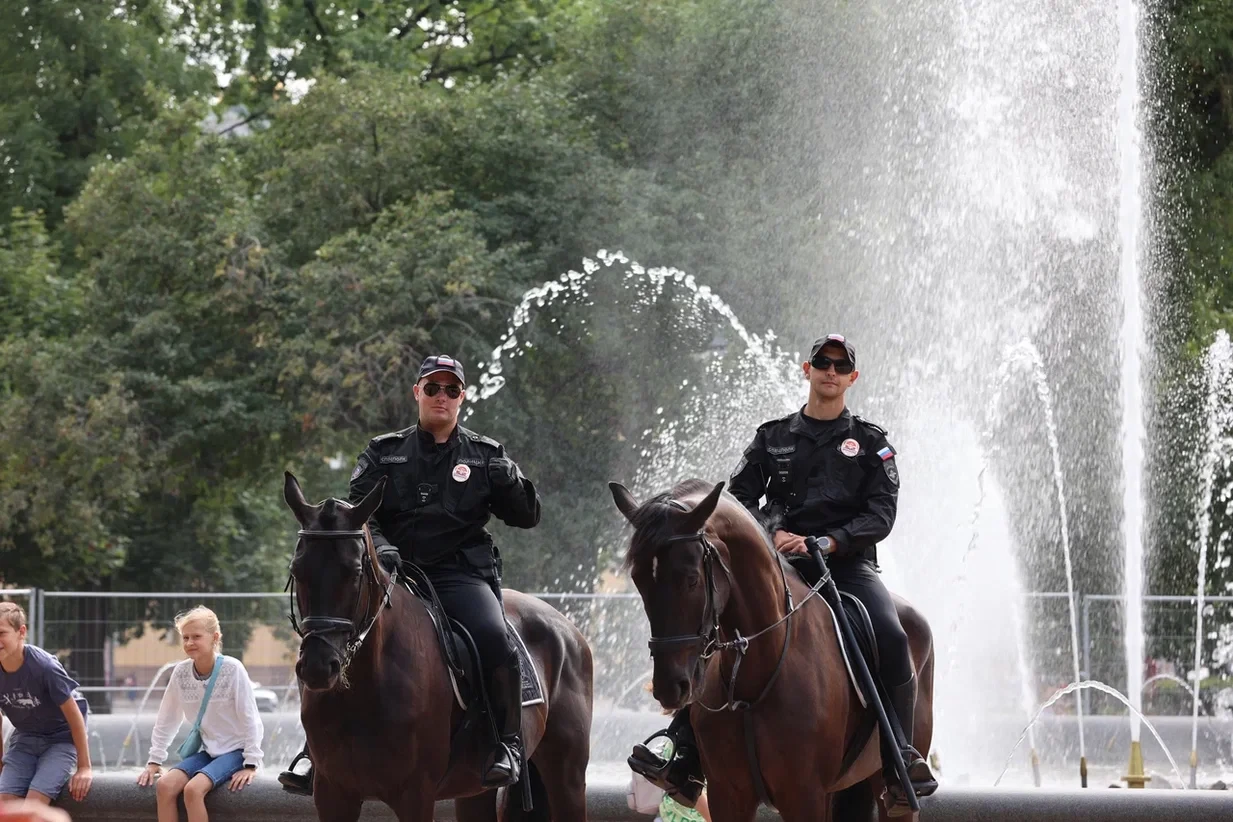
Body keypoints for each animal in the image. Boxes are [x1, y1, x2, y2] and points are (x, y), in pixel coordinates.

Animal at [283, 468, 591, 822]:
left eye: (355, 572)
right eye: (297, 569)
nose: (318, 667)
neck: (365, 686)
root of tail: (569, 630)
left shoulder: (415, 794)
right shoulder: (333, 793)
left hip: (567, 780)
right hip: (475, 792)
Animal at [606, 478, 932, 818]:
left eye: (692, 580)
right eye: (638, 579)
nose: (669, 687)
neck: (756, 679)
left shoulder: (804, 796)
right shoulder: (728, 795)